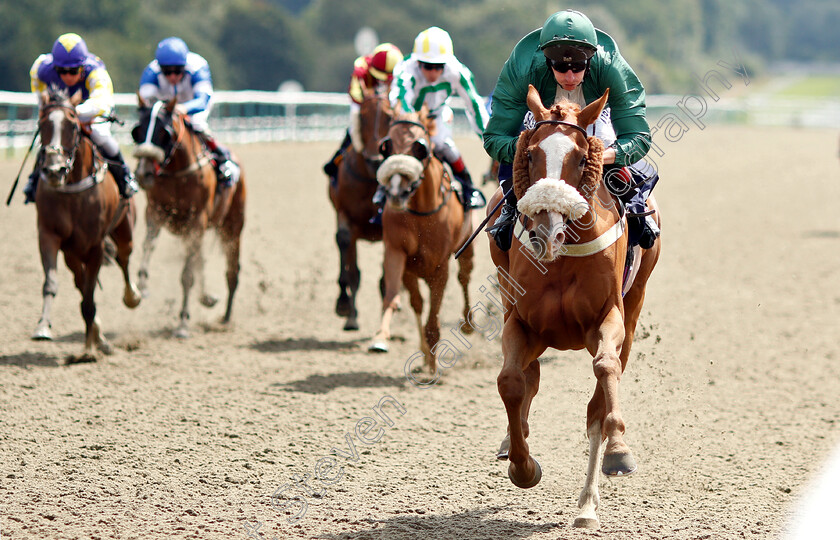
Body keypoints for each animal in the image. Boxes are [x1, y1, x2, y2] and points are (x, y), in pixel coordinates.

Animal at [32, 90, 141, 358]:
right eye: (41, 123)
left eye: (73, 125)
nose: (54, 170)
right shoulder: (50, 236)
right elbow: (53, 284)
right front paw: (43, 327)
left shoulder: (95, 246)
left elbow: (90, 299)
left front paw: (89, 350)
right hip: (73, 253)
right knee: (80, 283)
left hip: (124, 229)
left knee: (124, 258)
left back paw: (132, 297)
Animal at [130, 97, 244, 338]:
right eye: (137, 130)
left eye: (164, 132)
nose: (144, 173)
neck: (179, 173)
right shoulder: (155, 211)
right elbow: (148, 245)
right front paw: (142, 284)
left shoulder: (197, 220)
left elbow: (187, 275)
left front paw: (182, 322)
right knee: (200, 259)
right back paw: (207, 297)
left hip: (233, 225)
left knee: (232, 271)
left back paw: (226, 317)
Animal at [328, 85, 394, 332]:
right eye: (362, 117)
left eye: (389, 116)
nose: (375, 160)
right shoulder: (346, 215)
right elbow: (347, 252)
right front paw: (348, 311)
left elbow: (386, 276)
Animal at [370, 109, 476, 372]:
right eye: (386, 146)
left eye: (420, 147)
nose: (396, 192)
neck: (420, 213)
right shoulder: (398, 254)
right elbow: (398, 298)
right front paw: (381, 337)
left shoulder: (440, 265)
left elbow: (433, 320)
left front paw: (433, 367)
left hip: (467, 247)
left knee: (464, 278)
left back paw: (468, 323)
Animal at [486, 86, 664, 528]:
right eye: (530, 154)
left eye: (582, 158)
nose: (546, 231)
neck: (563, 256)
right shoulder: (522, 322)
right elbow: (511, 381)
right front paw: (522, 465)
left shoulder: (608, 317)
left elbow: (604, 375)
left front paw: (618, 450)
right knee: (528, 379)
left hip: (635, 306)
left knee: (600, 395)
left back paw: (587, 504)